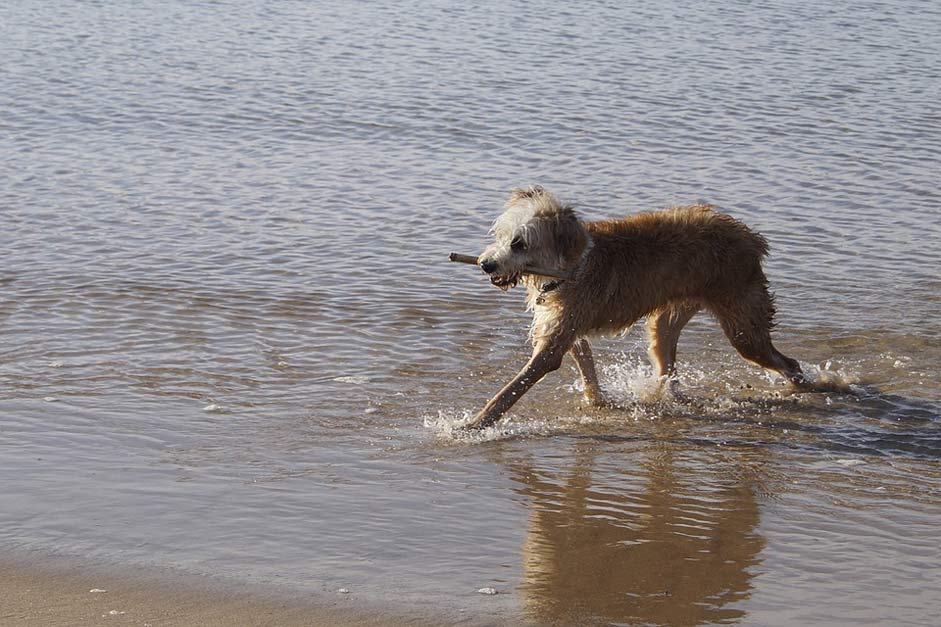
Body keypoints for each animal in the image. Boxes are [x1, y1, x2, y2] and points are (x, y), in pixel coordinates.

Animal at [470, 185, 816, 432]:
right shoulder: (567, 325)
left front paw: (475, 423)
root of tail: (751, 238)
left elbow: (514, 387)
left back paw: (814, 386)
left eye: (519, 243)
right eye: (502, 236)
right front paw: (598, 401)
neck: (572, 264)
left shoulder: (556, 340)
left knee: (786, 361)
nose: (487, 265)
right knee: (667, 365)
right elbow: (585, 363)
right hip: (667, 321)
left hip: (743, 326)